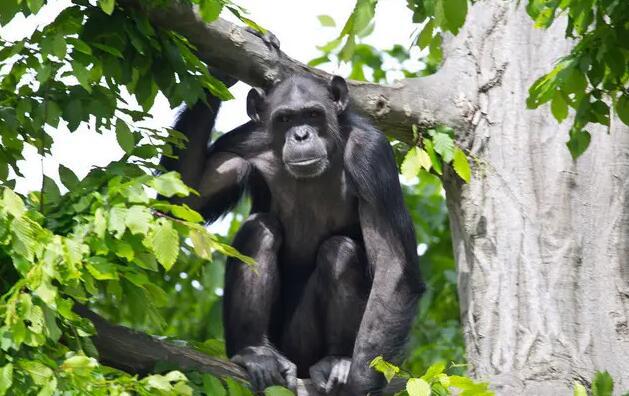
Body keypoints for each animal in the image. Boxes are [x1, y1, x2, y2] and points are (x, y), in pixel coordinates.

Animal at [164, 72, 424, 394]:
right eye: (285, 119)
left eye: (313, 114)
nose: (301, 135)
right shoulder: (242, 142)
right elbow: (181, 201)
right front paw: (215, 74)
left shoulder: (372, 153)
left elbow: (393, 266)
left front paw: (359, 385)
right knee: (260, 228)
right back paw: (256, 353)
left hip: (304, 344)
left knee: (340, 250)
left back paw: (337, 361)